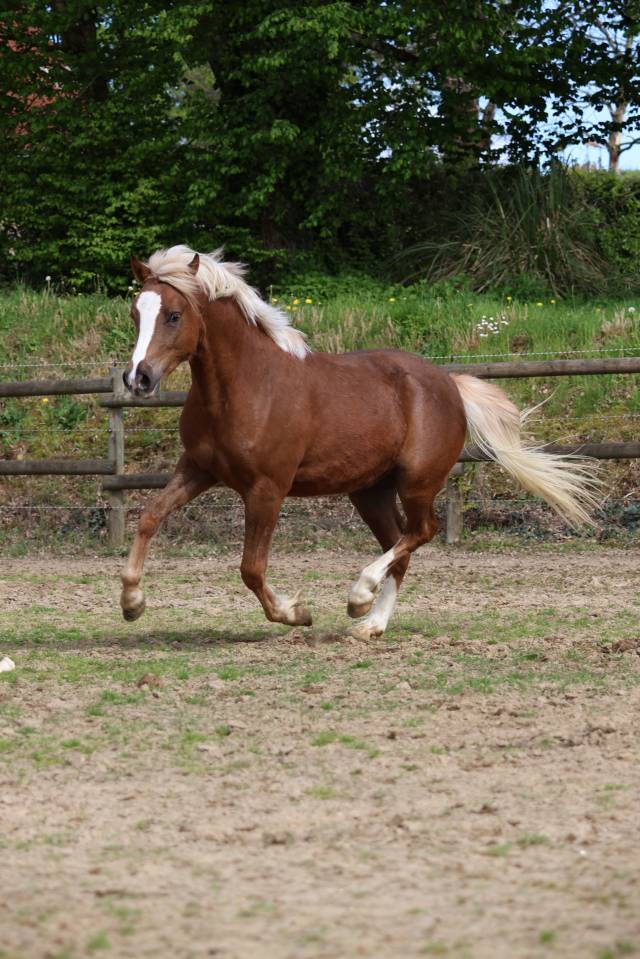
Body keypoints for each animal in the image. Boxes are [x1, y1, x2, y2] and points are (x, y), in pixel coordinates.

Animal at [120, 245, 599, 640]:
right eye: (135, 314)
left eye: (174, 315)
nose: (138, 378)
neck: (246, 386)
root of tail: (449, 383)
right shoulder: (197, 469)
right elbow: (148, 518)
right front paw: (132, 603)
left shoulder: (267, 489)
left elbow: (251, 569)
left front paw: (297, 613)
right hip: (370, 491)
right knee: (400, 544)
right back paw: (371, 624)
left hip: (417, 482)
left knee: (419, 532)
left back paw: (359, 598)